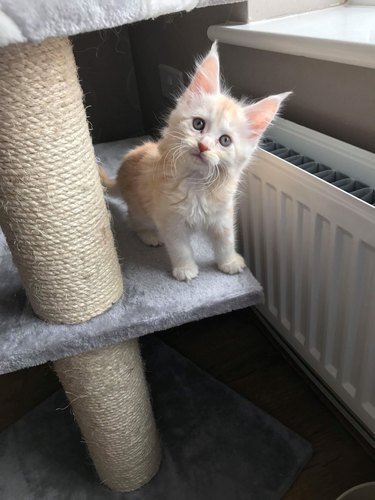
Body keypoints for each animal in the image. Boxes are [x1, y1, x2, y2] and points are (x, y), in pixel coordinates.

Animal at [100, 42, 290, 282]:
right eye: (198, 124)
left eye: (225, 141)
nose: (203, 146)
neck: (197, 184)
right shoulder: (169, 219)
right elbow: (179, 248)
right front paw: (185, 269)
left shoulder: (223, 216)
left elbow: (226, 241)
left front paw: (229, 262)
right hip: (141, 208)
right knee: (133, 220)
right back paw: (150, 235)